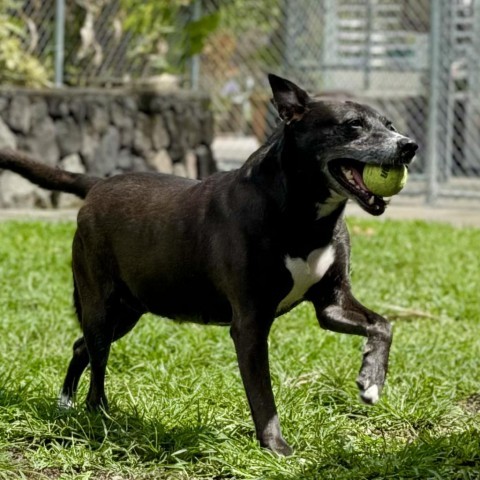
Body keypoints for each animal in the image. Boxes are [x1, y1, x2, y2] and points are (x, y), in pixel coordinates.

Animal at [0, 74, 416, 454]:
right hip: (101, 304)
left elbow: (383, 325)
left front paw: (371, 379)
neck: (304, 216)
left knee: (79, 346)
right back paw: (96, 412)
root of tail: (98, 185)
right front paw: (276, 448)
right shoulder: (250, 323)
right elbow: (262, 395)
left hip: (128, 310)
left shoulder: (332, 304)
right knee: (96, 358)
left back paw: (66, 403)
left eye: (390, 124)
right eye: (353, 124)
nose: (409, 146)